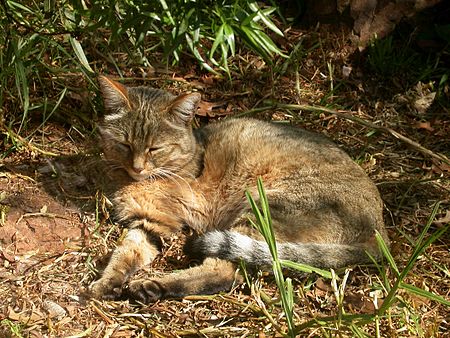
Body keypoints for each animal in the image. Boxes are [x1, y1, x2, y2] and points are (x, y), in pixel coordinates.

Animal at [89, 76, 388, 304]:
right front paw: (106, 282)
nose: (137, 167)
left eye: (155, 148)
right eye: (125, 144)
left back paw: (153, 286)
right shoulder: (151, 223)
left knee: (226, 270)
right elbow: (124, 253)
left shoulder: (180, 215)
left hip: (262, 208)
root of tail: (380, 233)